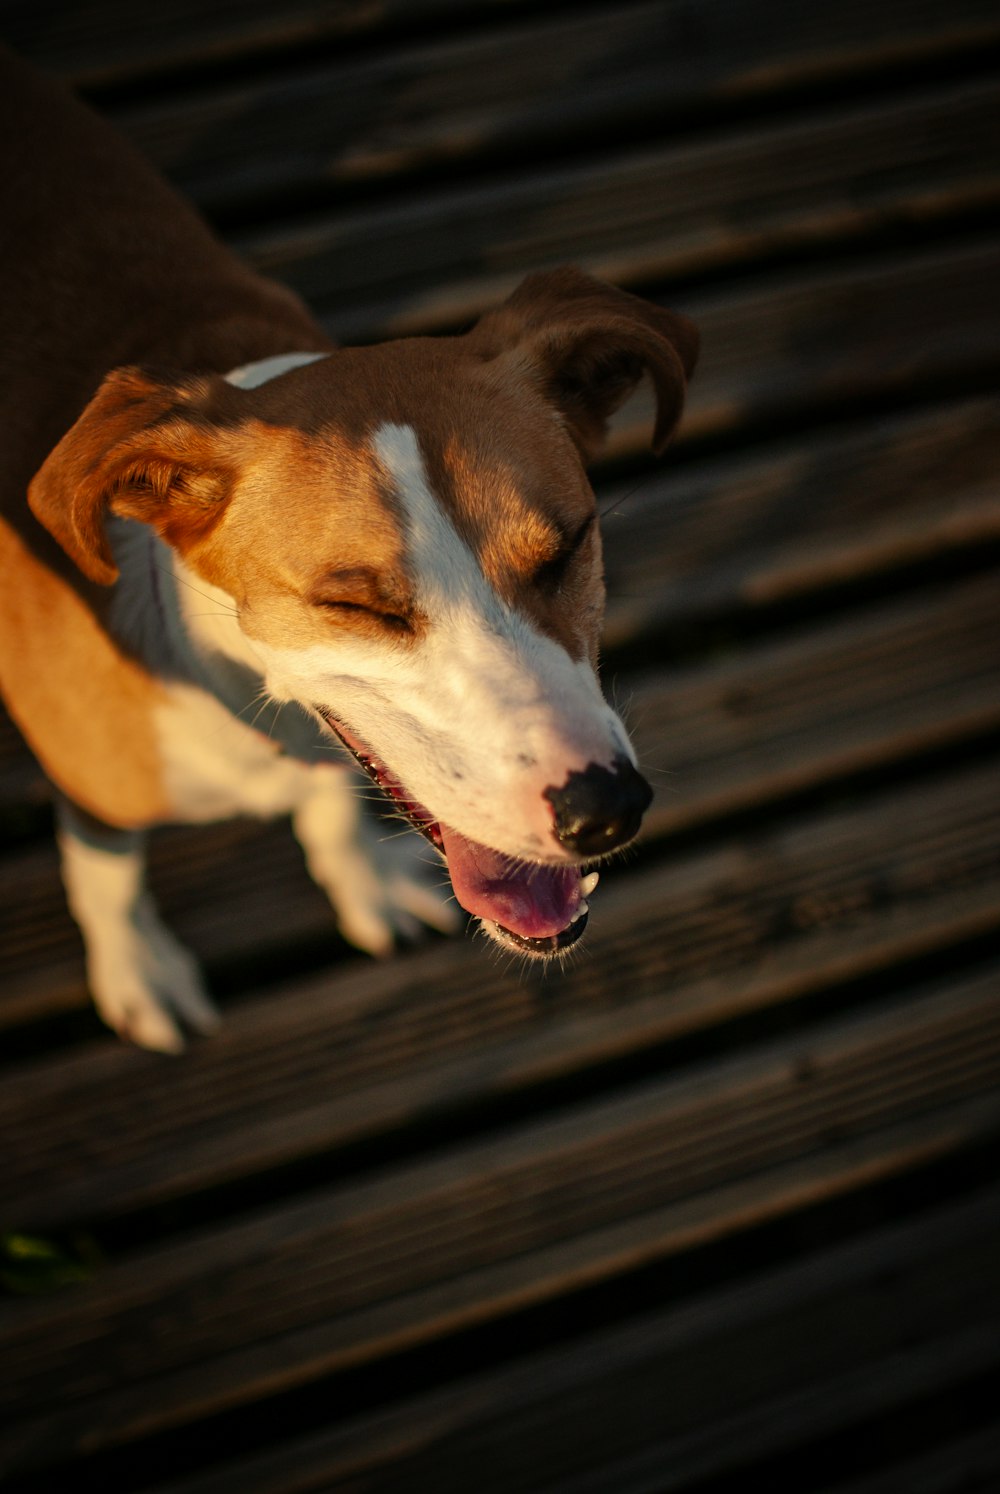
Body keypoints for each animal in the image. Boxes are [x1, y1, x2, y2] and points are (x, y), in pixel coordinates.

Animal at [0, 46, 699, 1051]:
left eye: (567, 549)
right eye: (355, 606)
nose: (605, 812)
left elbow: (333, 806)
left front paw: (360, 875)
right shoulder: (92, 788)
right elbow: (108, 875)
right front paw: (137, 967)